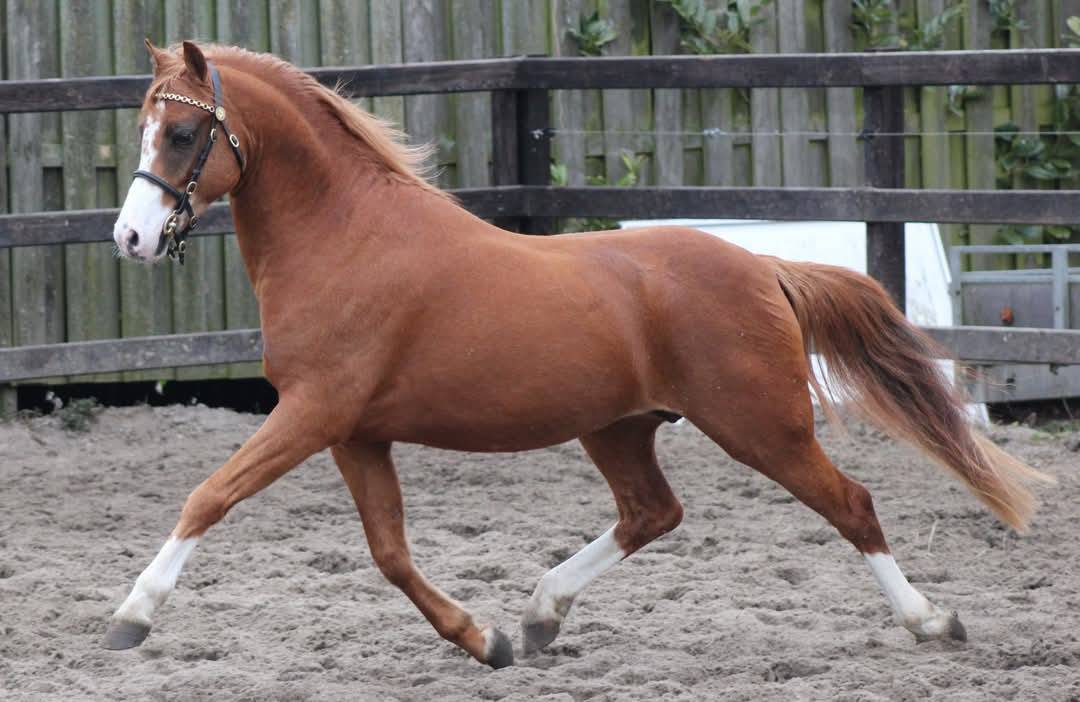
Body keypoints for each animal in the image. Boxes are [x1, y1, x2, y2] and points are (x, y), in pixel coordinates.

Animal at [106, 40, 1051, 669]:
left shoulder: (312, 413)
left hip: (762, 428)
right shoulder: (355, 432)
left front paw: (131, 617)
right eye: (145, 126)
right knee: (652, 513)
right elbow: (390, 553)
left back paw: (933, 623)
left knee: (848, 504)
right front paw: (482, 638)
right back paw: (539, 614)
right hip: (620, 427)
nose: (130, 238)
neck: (347, 240)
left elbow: (208, 496)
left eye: (182, 135)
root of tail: (762, 267)